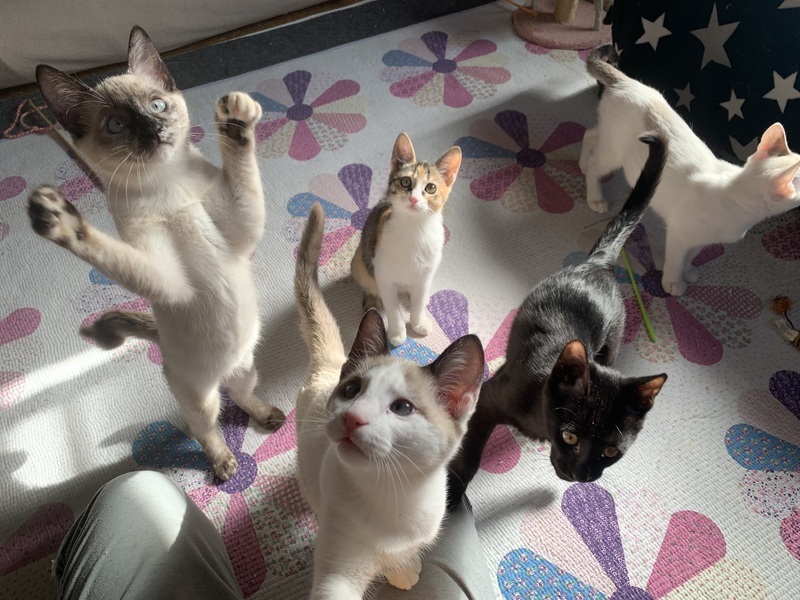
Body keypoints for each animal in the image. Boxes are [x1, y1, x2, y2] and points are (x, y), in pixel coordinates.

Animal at [26, 26, 284, 481]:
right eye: (117, 125)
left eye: (157, 105)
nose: (152, 129)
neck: (167, 186)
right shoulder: (171, 282)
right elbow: (113, 253)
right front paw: (61, 221)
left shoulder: (240, 230)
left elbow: (243, 176)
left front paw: (235, 121)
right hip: (200, 396)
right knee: (206, 427)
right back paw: (224, 464)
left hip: (245, 366)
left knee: (241, 394)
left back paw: (267, 414)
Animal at [295, 202, 485, 598]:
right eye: (352, 391)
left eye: (403, 408)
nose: (352, 417)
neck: (394, 497)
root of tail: (328, 366)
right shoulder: (339, 567)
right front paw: (400, 571)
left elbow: (404, 554)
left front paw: (403, 568)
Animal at [351, 132, 462, 346]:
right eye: (405, 182)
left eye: (431, 187)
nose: (414, 199)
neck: (415, 230)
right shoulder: (384, 275)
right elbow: (392, 308)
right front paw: (397, 331)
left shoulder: (427, 271)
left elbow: (418, 303)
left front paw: (419, 321)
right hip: (360, 259)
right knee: (368, 282)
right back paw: (372, 300)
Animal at [447, 135, 668, 510]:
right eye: (570, 436)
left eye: (611, 452)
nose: (582, 475)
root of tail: (598, 262)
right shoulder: (487, 401)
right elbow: (470, 455)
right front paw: (454, 494)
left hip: (612, 342)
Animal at [581, 47, 800, 296]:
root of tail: (628, 81)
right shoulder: (678, 232)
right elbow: (676, 260)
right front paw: (673, 282)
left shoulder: (699, 240)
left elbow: (691, 256)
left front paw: (688, 271)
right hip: (614, 153)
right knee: (596, 165)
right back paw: (595, 196)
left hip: (608, 139)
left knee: (590, 135)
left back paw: (582, 163)